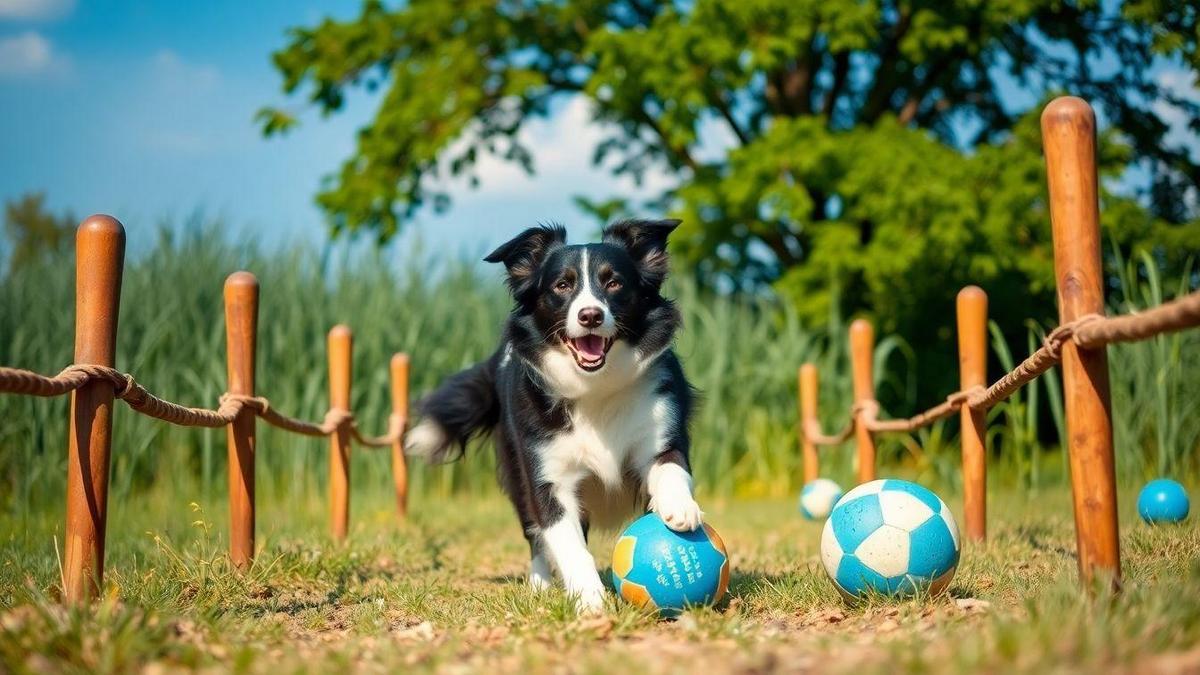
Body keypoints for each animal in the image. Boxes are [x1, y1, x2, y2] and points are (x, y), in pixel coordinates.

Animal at [405, 219, 700, 610]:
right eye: (562, 285)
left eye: (614, 282)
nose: (590, 315)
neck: (594, 387)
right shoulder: (547, 474)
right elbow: (565, 540)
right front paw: (590, 600)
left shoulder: (660, 424)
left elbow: (670, 466)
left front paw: (680, 508)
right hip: (516, 471)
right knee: (535, 534)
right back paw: (540, 583)